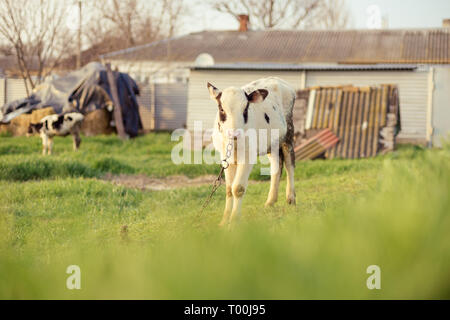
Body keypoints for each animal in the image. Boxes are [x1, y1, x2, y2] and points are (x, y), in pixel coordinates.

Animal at [209, 77, 298, 228]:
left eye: (246, 109)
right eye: (221, 109)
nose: (235, 133)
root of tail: (277, 79)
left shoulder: (248, 156)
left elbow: (238, 188)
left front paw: (233, 222)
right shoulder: (225, 157)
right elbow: (229, 189)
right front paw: (224, 221)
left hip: (288, 134)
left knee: (289, 163)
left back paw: (290, 197)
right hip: (272, 142)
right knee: (276, 167)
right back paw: (270, 201)